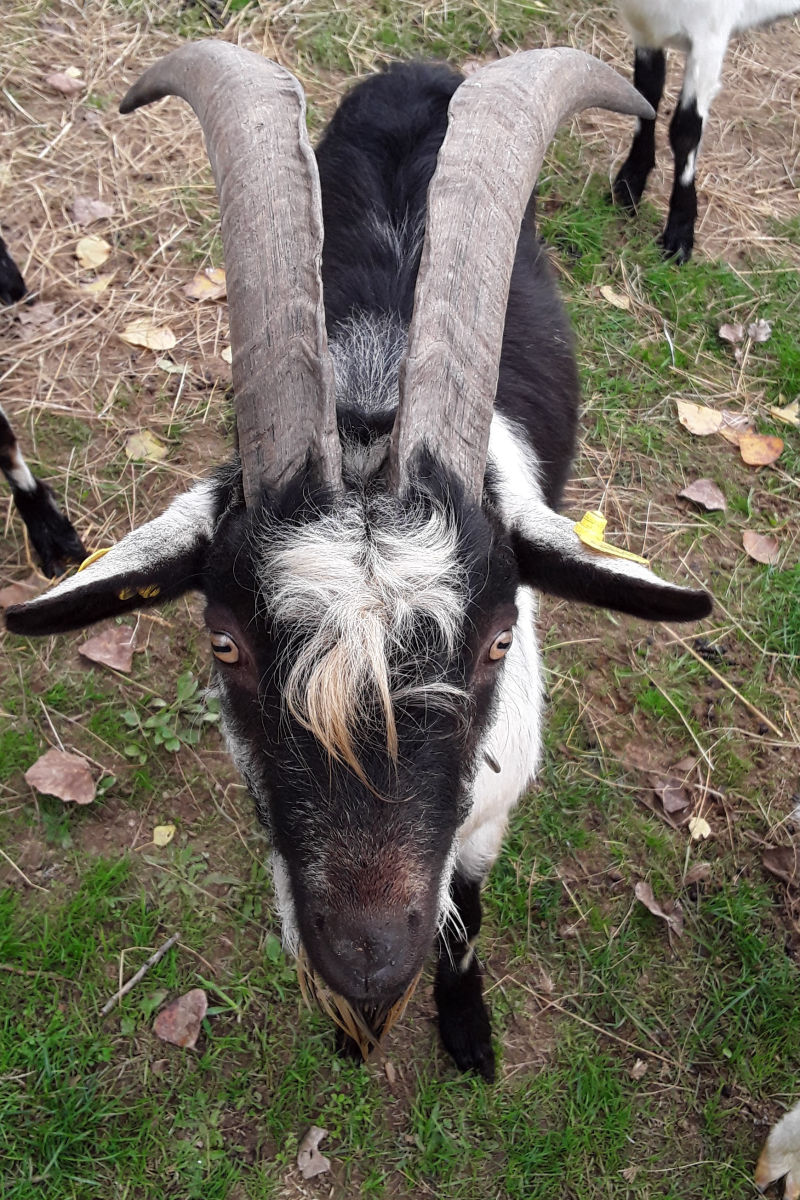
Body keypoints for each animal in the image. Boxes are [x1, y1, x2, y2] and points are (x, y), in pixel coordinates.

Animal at [3, 46, 710, 1080]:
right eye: (225, 644)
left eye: (499, 642)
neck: (372, 405)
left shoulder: (489, 810)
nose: (368, 957)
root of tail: (415, 67)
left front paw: (465, 1028)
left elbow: (468, 909)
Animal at [614, 0, 800, 261]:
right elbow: (645, 95)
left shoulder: (709, 40)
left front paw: (680, 233)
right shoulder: (644, 27)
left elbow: (686, 130)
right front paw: (628, 185)